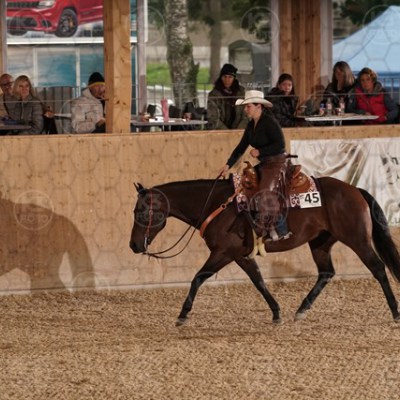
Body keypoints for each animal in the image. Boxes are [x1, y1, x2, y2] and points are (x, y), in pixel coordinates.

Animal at [129, 176, 400, 325]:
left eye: (141, 211)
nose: (134, 245)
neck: (216, 205)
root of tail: (355, 190)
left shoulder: (223, 252)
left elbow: (197, 278)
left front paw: (183, 314)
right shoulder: (240, 255)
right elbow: (258, 280)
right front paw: (276, 312)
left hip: (357, 239)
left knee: (378, 268)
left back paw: (395, 312)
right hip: (320, 242)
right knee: (326, 273)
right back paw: (301, 310)